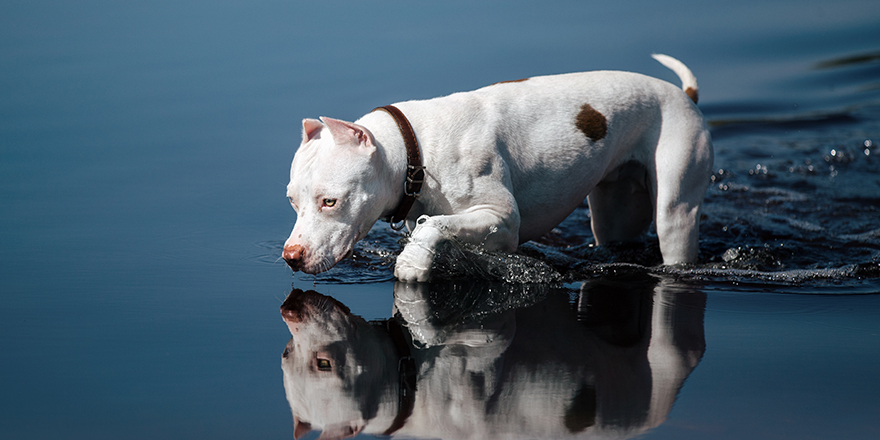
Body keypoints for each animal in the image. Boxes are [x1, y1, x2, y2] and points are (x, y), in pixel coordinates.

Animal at [286, 54, 712, 282]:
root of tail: (684, 95)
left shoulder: (503, 221)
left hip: (676, 207)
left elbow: (434, 226)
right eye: (293, 201)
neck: (414, 148)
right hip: (614, 213)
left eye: (329, 201)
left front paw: (411, 263)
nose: (291, 256)